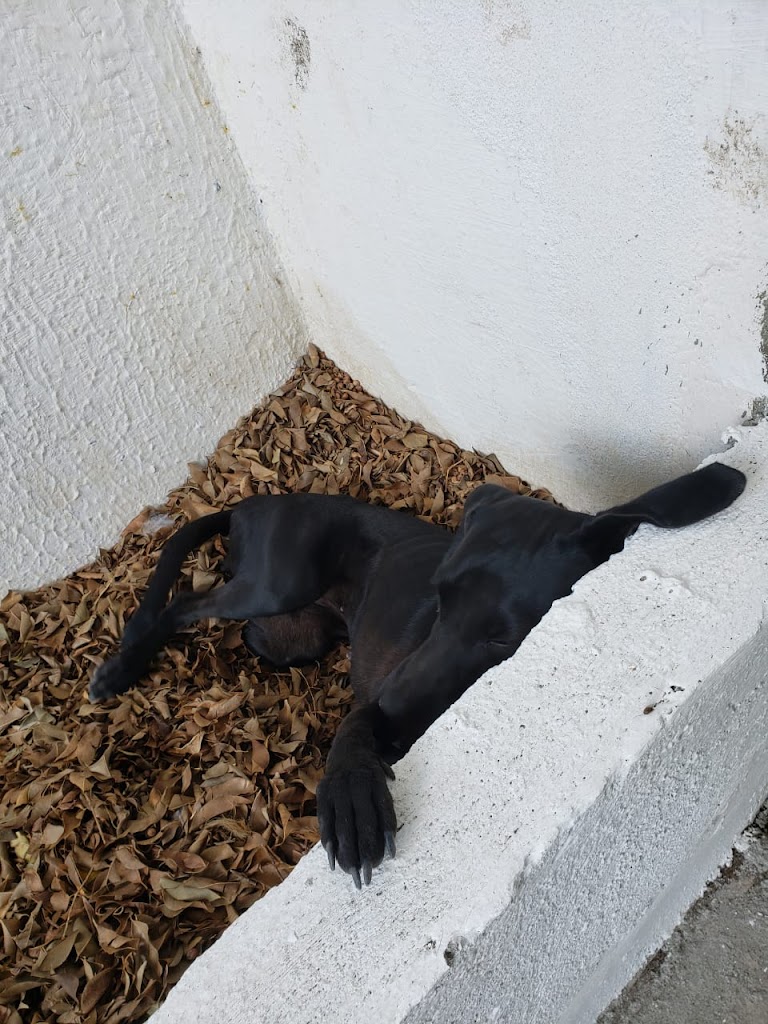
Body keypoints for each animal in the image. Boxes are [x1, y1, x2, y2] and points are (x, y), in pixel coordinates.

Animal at [89, 462, 746, 888]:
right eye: (438, 596)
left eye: (501, 637)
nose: (392, 706)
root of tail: (248, 504)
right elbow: (352, 733)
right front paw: (352, 798)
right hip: (277, 583)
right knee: (182, 604)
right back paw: (119, 669)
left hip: (290, 635)